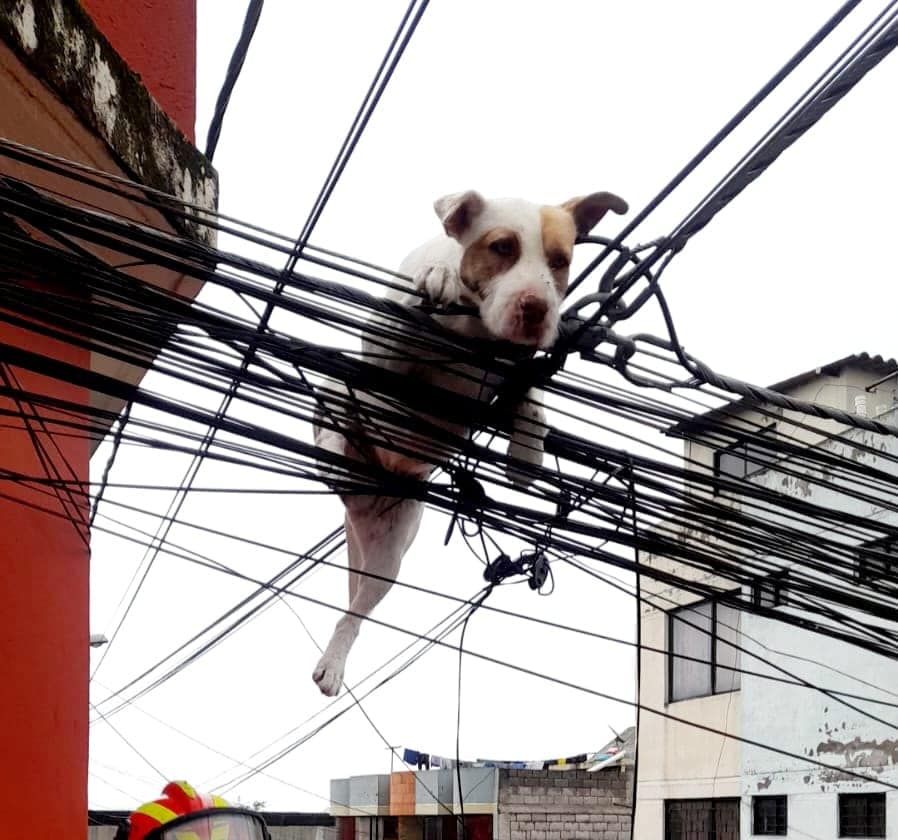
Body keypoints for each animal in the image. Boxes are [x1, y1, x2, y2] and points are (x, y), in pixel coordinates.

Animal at [308, 190, 624, 696]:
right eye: (502, 247)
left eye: (560, 261)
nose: (536, 307)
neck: (475, 328)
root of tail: (359, 495)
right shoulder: (382, 351)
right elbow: (405, 324)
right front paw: (438, 278)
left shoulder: (518, 367)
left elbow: (531, 398)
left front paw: (527, 453)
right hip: (340, 382)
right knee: (336, 408)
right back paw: (334, 450)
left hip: (389, 550)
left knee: (354, 614)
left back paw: (335, 660)